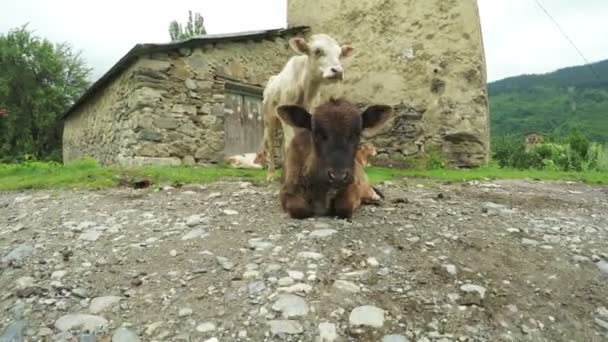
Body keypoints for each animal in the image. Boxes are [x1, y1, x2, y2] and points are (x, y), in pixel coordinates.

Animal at [258, 33, 354, 180]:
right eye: (317, 51)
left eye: (340, 55)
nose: (337, 71)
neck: (306, 92)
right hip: (269, 120)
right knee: (272, 145)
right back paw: (271, 175)